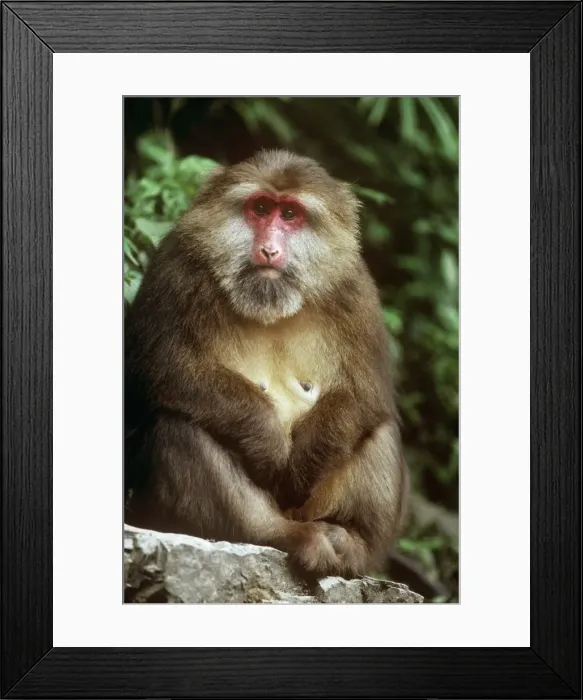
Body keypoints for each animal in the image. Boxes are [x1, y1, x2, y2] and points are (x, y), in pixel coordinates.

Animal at [124, 149, 409, 578]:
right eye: (260, 208)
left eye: (290, 214)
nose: (269, 250)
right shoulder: (176, 269)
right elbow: (160, 370)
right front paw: (267, 441)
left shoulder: (354, 288)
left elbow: (366, 393)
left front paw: (304, 463)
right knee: (179, 425)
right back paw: (277, 534)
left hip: (313, 507)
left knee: (376, 428)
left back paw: (351, 540)